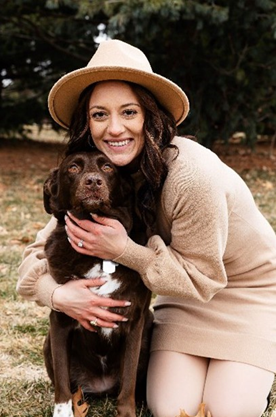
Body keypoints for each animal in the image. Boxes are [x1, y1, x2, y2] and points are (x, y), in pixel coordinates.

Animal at [42, 150, 153, 416]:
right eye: (73, 168)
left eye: (108, 167)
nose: (93, 181)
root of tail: (102, 388)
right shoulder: (59, 321)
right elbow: (62, 384)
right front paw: (62, 412)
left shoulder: (136, 322)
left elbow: (128, 384)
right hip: (47, 342)